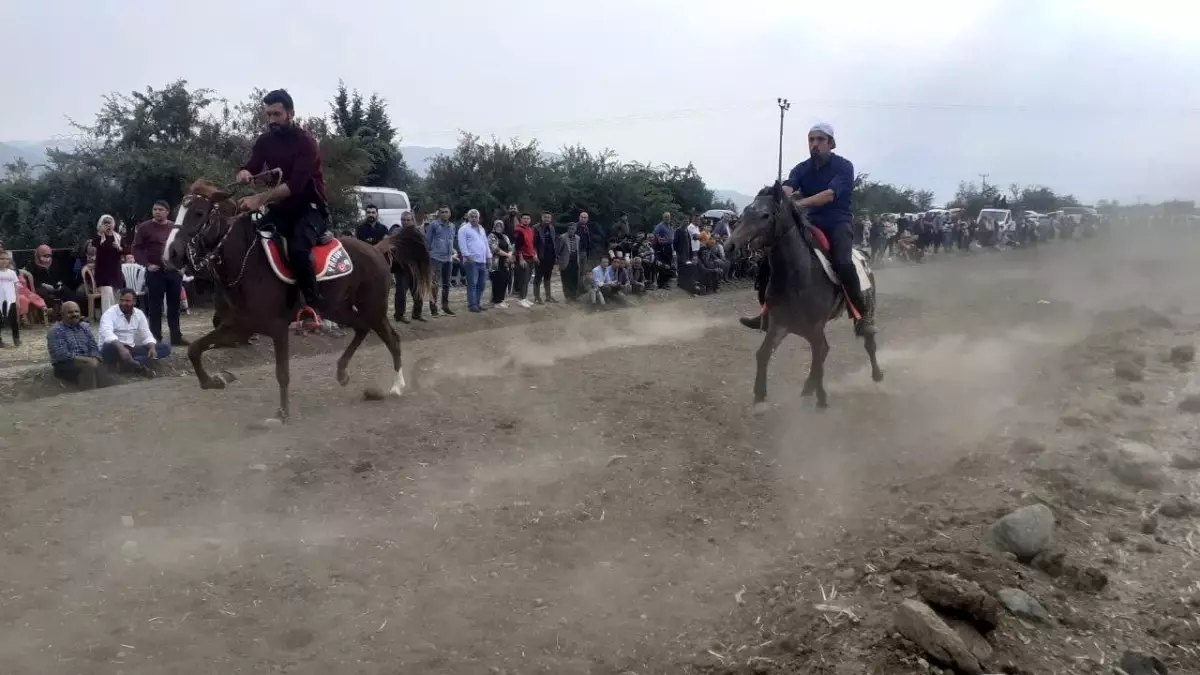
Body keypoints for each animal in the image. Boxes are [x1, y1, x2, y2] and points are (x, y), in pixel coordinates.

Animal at [164, 178, 432, 420]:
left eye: (199, 213)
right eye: (178, 212)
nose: (171, 253)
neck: (248, 264)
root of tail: (376, 249)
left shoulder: (277, 327)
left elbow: (282, 372)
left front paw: (283, 413)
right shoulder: (238, 328)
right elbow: (195, 350)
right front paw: (217, 380)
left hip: (372, 308)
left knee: (391, 339)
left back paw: (396, 385)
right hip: (337, 308)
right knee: (361, 329)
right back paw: (342, 372)